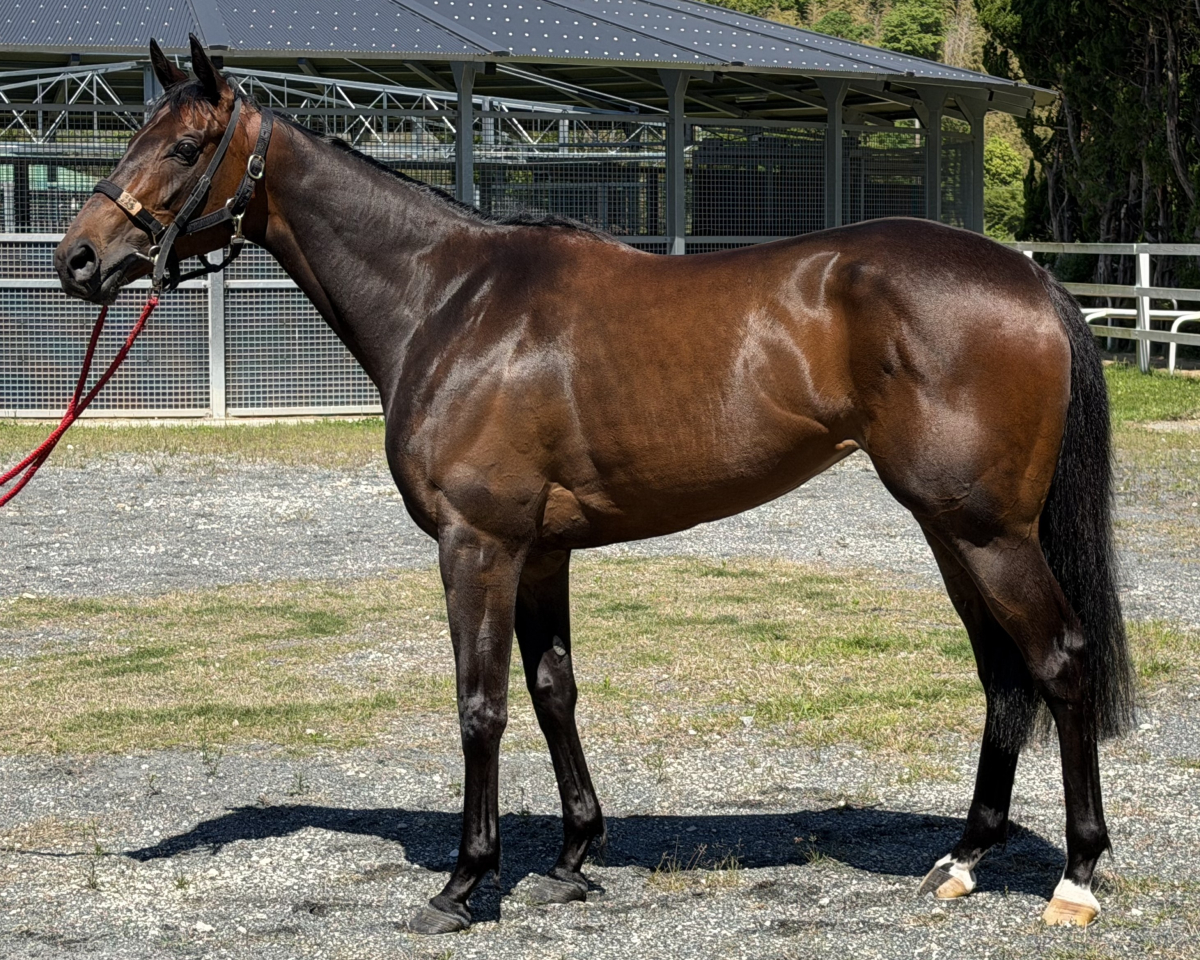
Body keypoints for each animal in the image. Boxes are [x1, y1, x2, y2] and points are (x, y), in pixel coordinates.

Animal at [54, 36, 1135, 934]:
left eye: (186, 145)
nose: (79, 258)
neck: (449, 301)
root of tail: (1033, 280)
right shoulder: (541, 552)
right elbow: (553, 690)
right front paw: (574, 856)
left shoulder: (479, 543)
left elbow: (481, 704)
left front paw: (464, 884)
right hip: (954, 531)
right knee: (1002, 676)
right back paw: (962, 861)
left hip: (987, 531)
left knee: (1059, 661)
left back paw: (1075, 878)